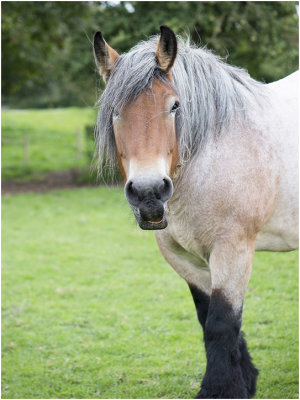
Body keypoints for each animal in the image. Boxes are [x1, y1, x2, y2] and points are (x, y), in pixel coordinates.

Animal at [92, 26, 298, 398]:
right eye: (113, 109)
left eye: (174, 106)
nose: (148, 193)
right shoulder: (183, 258)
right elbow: (208, 317)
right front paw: (245, 379)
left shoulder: (233, 250)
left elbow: (222, 322)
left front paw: (221, 388)